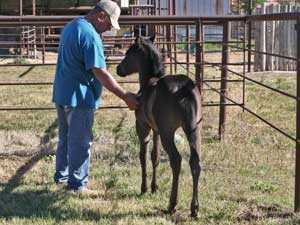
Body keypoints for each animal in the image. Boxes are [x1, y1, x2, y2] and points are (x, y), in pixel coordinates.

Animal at [116, 36, 203, 217]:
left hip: (167, 133)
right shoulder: (156, 130)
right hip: (193, 130)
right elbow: (155, 156)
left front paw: (144, 188)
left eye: (128, 54)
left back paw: (172, 204)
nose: (118, 69)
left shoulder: (143, 127)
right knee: (195, 162)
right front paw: (154, 187)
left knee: (176, 160)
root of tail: (184, 89)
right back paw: (194, 208)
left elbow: (143, 156)